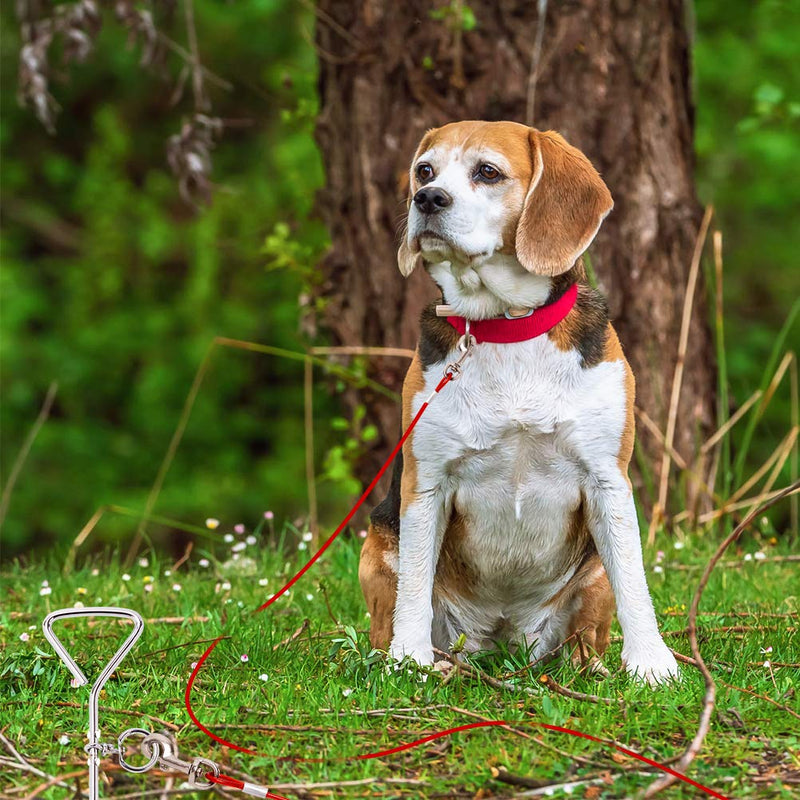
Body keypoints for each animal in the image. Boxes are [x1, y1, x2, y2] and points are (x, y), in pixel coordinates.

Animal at [360, 122, 680, 684]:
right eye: (424, 170)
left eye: (487, 172)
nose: (427, 198)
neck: (507, 328)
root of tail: (500, 637)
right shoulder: (425, 485)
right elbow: (415, 586)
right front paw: (409, 659)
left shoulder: (608, 479)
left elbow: (635, 579)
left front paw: (651, 663)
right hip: (376, 544)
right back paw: (428, 662)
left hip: (590, 578)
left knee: (586, 635)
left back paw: (589, 668)